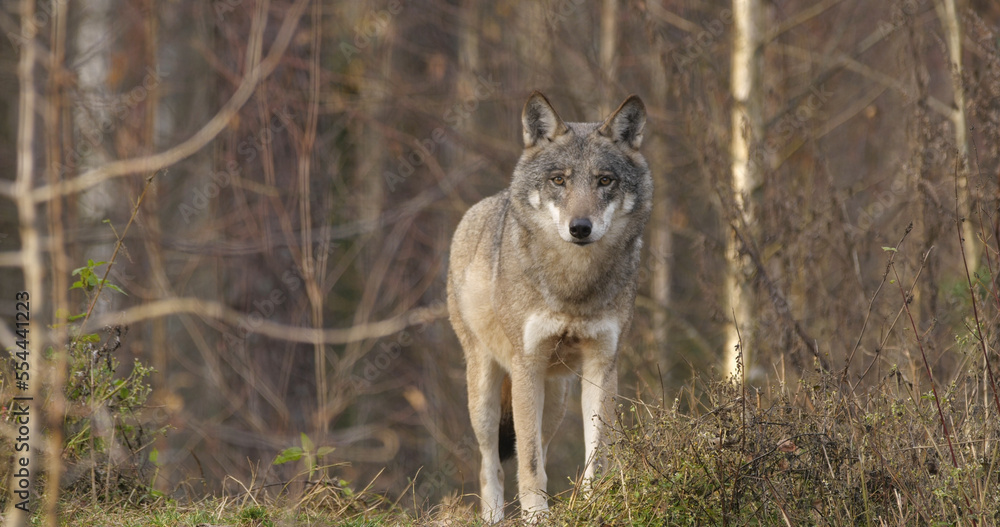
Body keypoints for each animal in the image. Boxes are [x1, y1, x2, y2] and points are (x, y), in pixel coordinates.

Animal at [450, 92, 652, 524]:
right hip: (487, 392)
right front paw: (536, 514)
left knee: (538, 445)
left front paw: (594, 505)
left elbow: (597, 453)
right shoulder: (527, 364)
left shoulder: (602, 365)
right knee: (490, 463)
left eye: (604, 180)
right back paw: (494, 516)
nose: (580, 228)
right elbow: (526, 460)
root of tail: (484, 205)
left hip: (555, 397)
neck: (574, 284)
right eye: (559, 180)